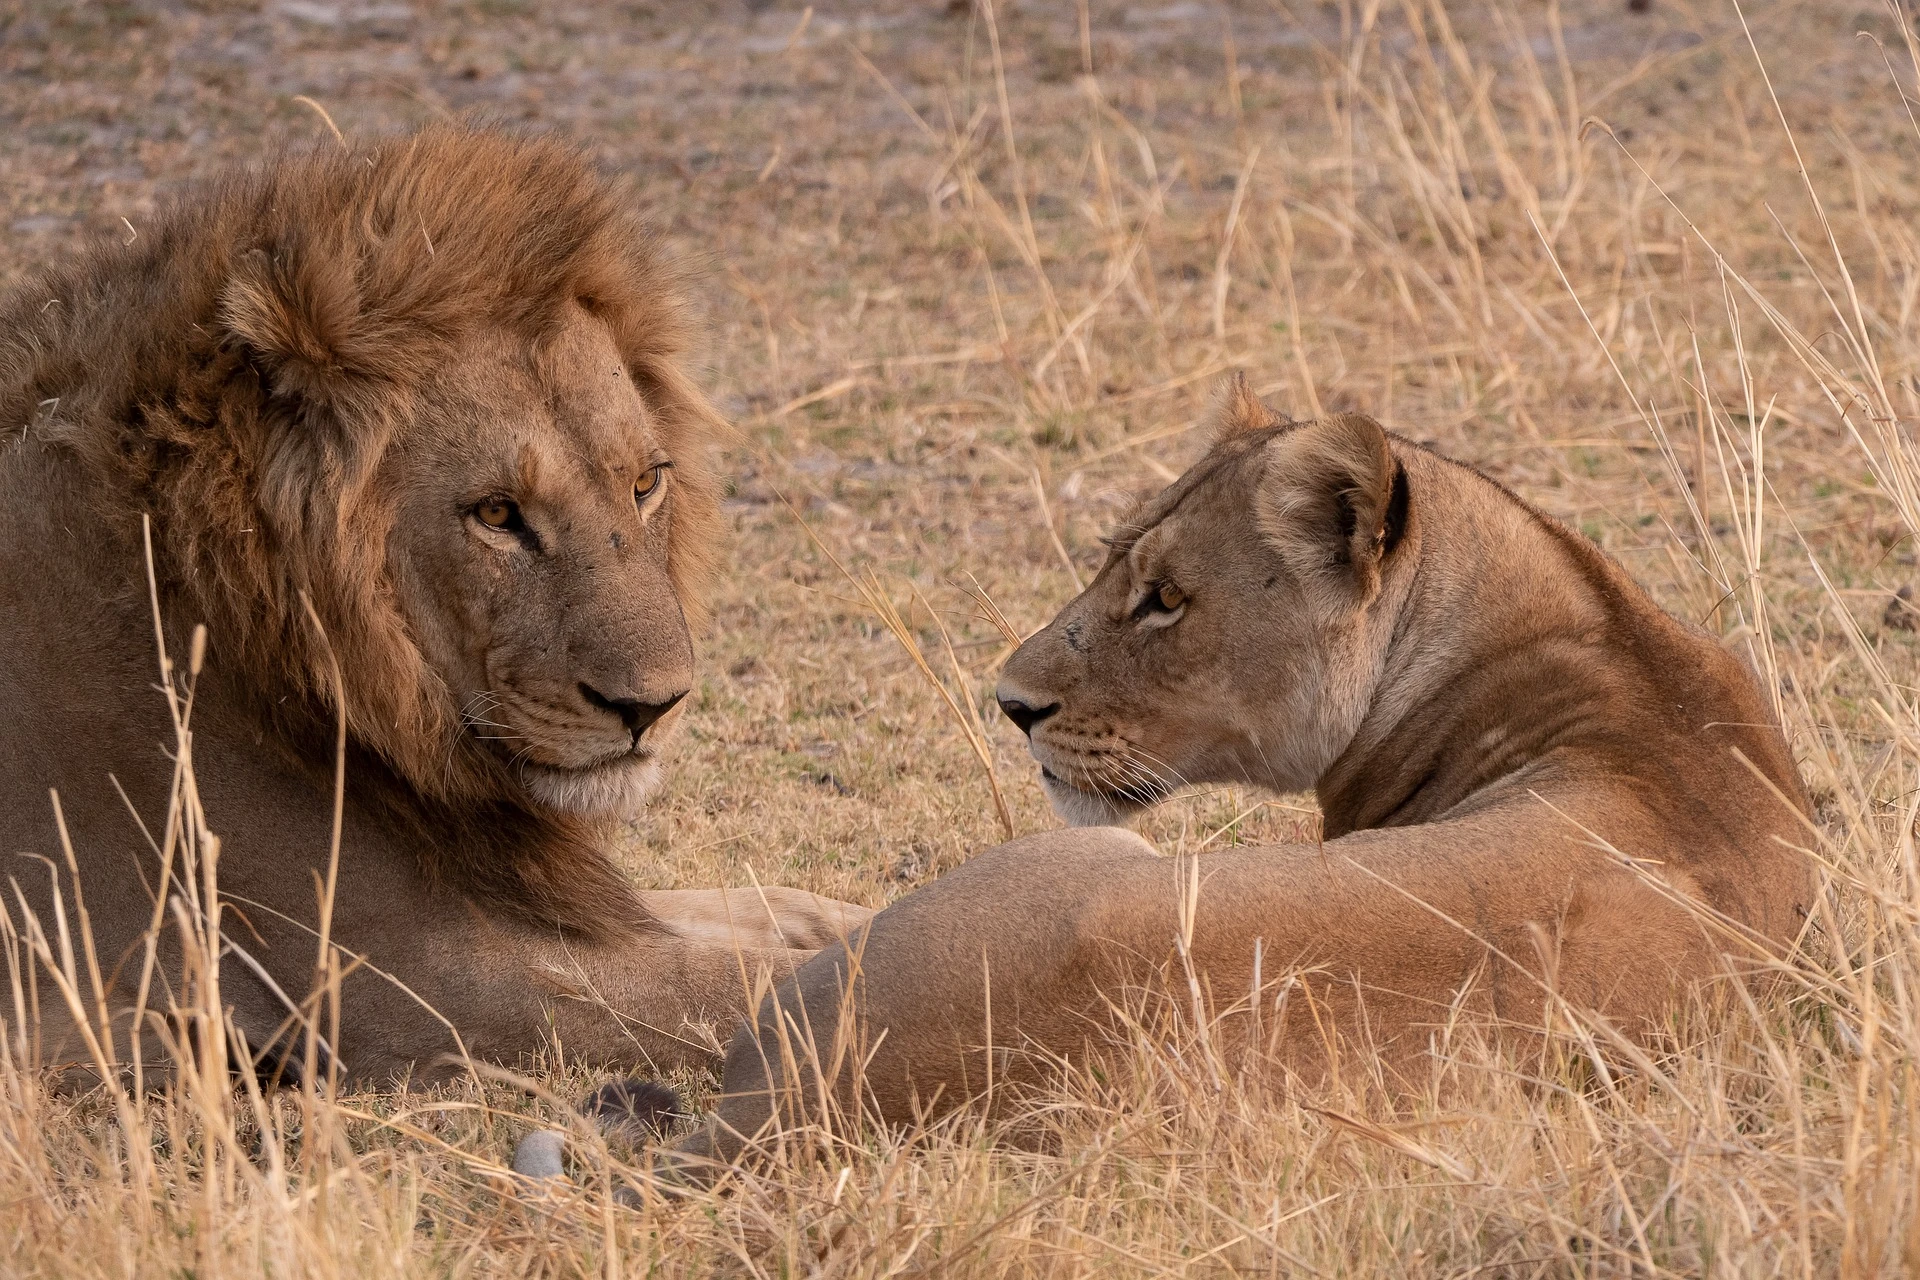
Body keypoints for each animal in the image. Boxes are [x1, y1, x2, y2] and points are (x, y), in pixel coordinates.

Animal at [0, 130, 871, 1090]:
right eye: (496, 513)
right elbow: (748, 983)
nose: (654, 707)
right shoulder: (420, 982)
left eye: (645, 484)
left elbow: (750, 909)